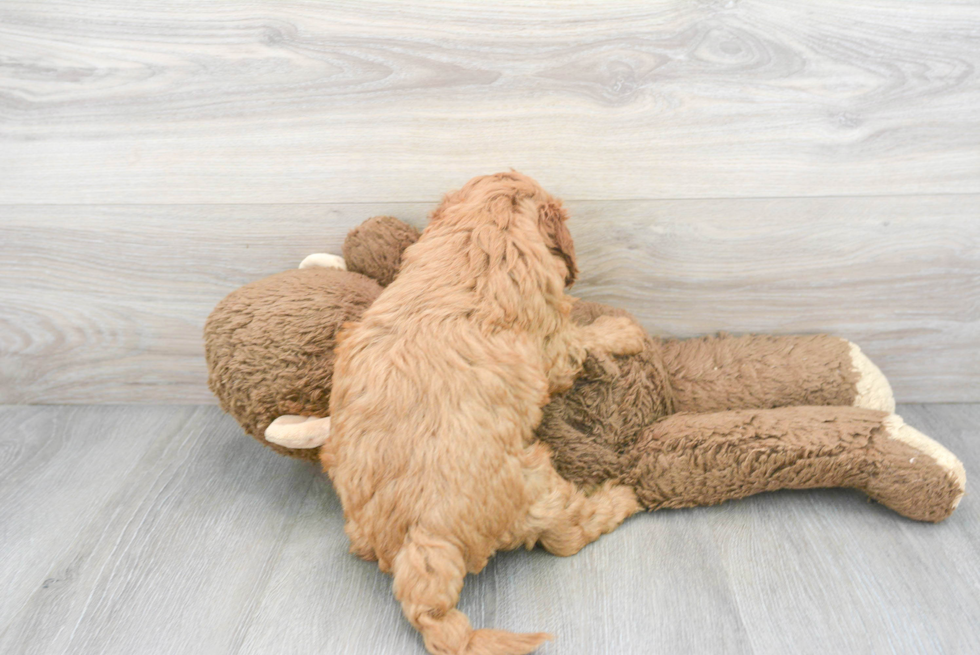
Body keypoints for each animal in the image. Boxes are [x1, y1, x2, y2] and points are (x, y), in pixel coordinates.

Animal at [330, 173, 644, 655]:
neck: (480, 235)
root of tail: (421, 538)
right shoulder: (554, 343)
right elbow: (579, 342)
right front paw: (622, 330)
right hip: (536, 480)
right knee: (567, 536)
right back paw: (620, 497)